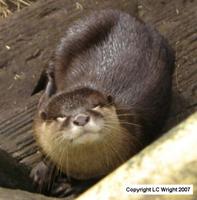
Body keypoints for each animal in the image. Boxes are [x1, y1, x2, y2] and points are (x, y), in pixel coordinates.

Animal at [31, 9, 175, 189]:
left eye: (95, 106)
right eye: (61, 116)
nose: (81, 118)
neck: (85, 168)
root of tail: (132, 17)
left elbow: (96, 181)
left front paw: (70, 187)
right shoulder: (38, 127)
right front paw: (43, 172)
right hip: (74, 35)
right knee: (52, 67)